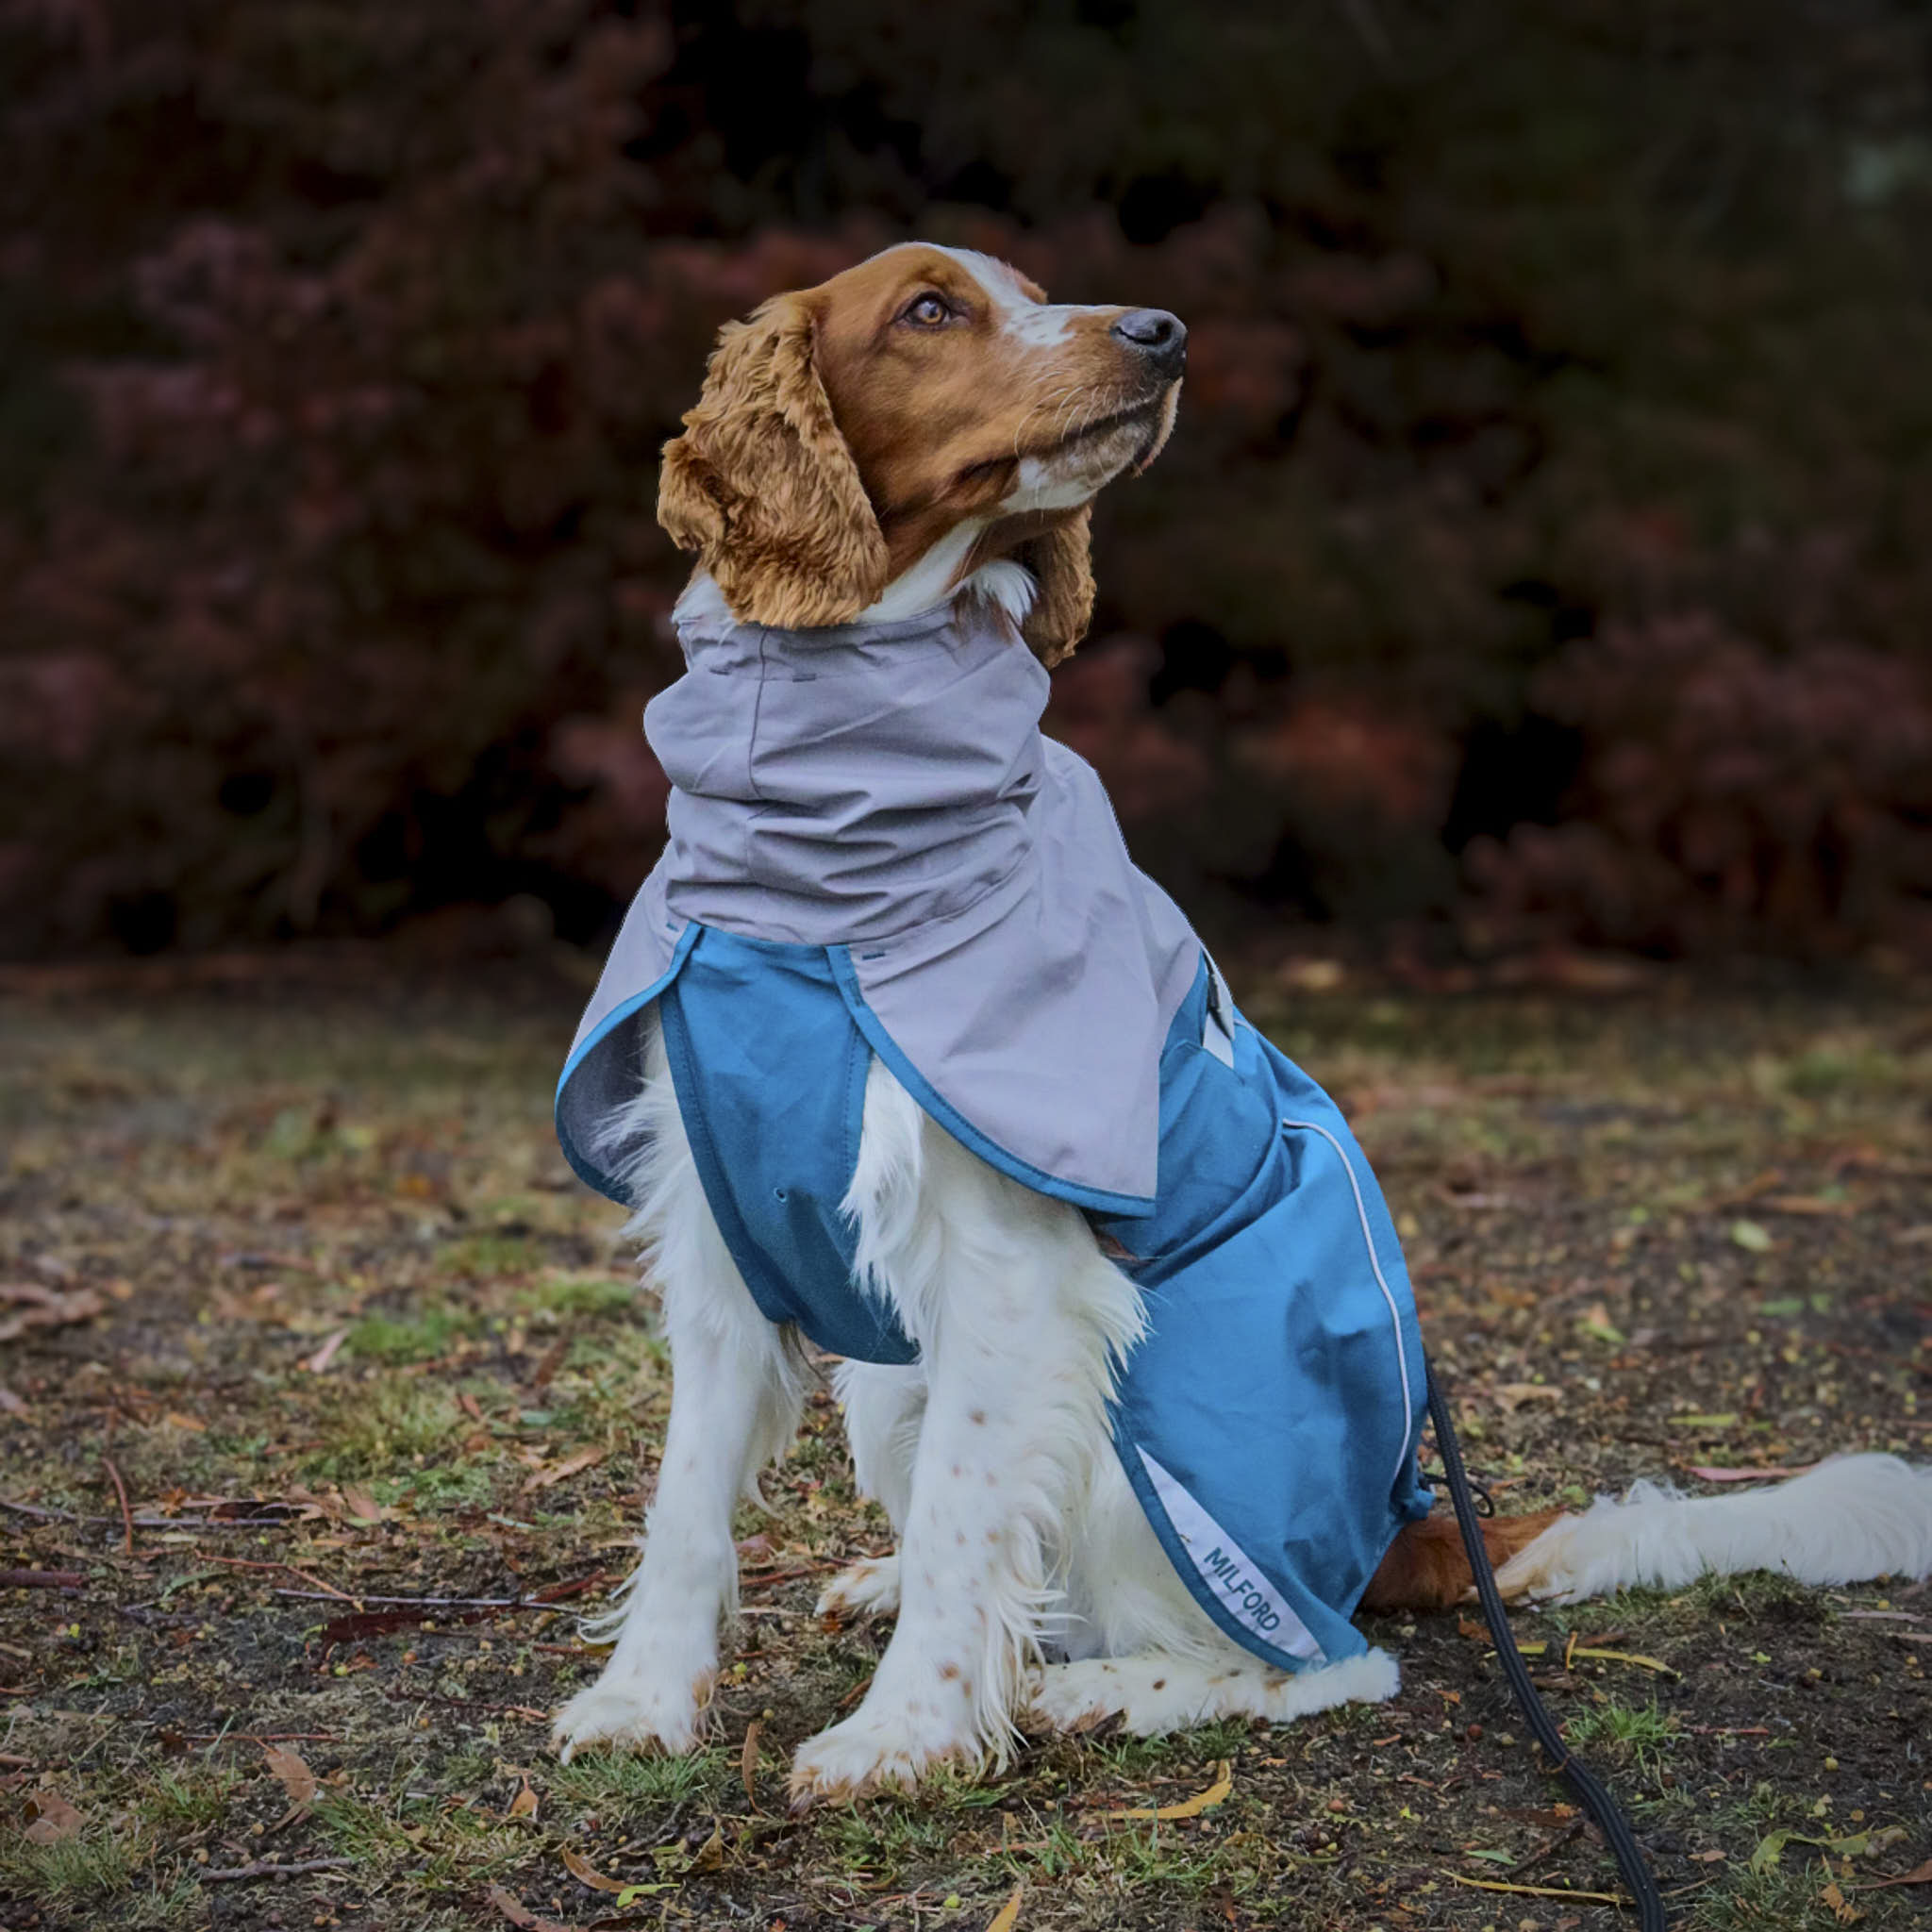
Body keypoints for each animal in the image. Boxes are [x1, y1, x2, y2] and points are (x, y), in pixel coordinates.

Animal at [548, 245, 1932, 1807]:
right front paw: (641, 1702)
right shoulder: (720, 1232)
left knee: (1322, 1658)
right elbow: (688, 1499)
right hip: (890, 1383)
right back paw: (914, 1595)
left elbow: (972, 1509)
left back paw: (1107, 1689)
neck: (818, 875)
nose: (1163, 332)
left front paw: (902, 1737)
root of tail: (1408, 1525)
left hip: (1154, 1435)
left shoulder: (1016, 1267)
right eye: (930, 309)